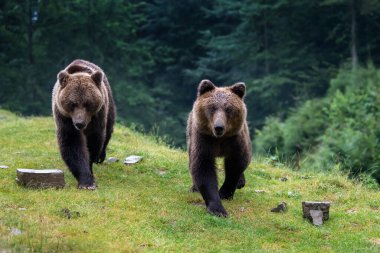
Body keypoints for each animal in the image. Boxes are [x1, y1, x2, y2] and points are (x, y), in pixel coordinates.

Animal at [51, 59, 116, 190]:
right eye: (72, 103)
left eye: (88, 103)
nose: (79, 123)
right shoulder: (65, 118)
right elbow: (73, 144)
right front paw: (86, 181)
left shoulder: (97, 116)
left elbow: (93, 142)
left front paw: (90, 173)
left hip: (109, 103)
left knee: (108, 129)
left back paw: (100, 157)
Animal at [188, 79, 252, 217]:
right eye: (212, 107)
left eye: (228, 109)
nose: (219, 127)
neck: (219, 139)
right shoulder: (204, 140)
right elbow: (203, 169)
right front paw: (218, 209)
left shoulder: (235, 141)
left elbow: (236, 165)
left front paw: (224, 193)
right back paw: (194, 187)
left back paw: (241, 181)